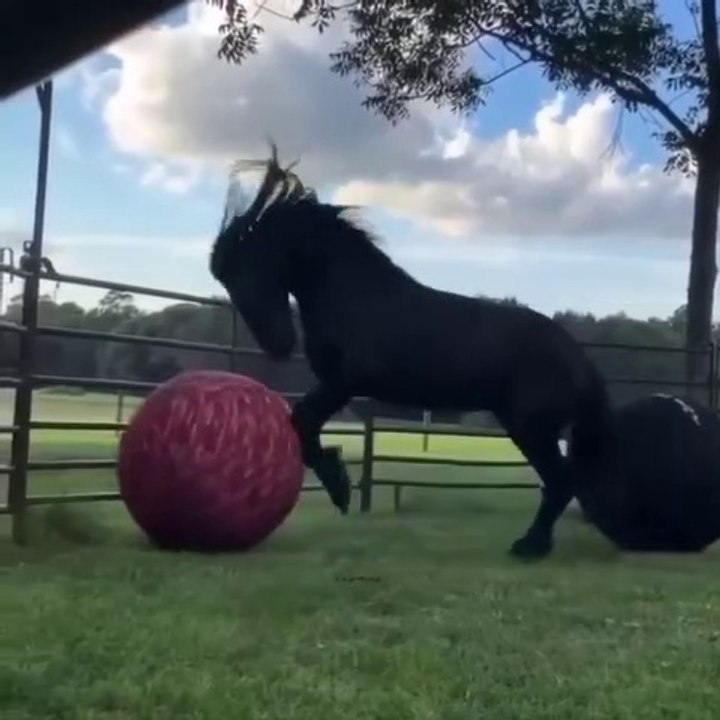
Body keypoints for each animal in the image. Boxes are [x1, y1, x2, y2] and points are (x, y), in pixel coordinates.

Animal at [209, 146, 613, 559]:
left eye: (248, 268)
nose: (278, 346)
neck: (356, 296)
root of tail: (579, 360)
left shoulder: (345, 382)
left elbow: (302, 420)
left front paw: (339, 485)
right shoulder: (338, 385)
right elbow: (303, 422)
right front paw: (338, 479)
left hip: (532, 427)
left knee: (561, 480)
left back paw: (530, 545)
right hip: (524, 426)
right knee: (560, 481)